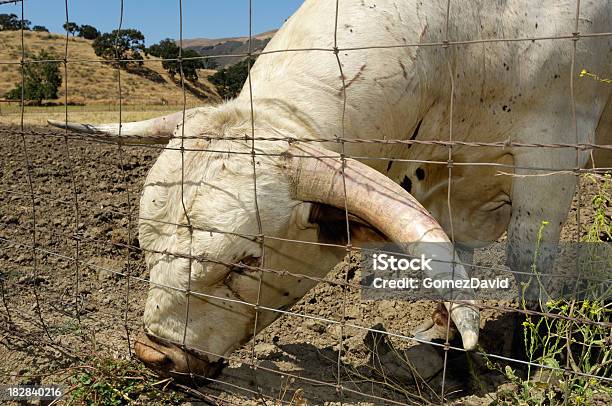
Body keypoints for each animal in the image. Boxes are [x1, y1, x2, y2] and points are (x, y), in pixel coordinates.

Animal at [50, 0, 608, 380]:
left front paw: (528, 359)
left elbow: (527, 262)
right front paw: (442, 343)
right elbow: (450, 261)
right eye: (146, 247)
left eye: (245, 262)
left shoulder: (552, 150)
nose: (154, 353)